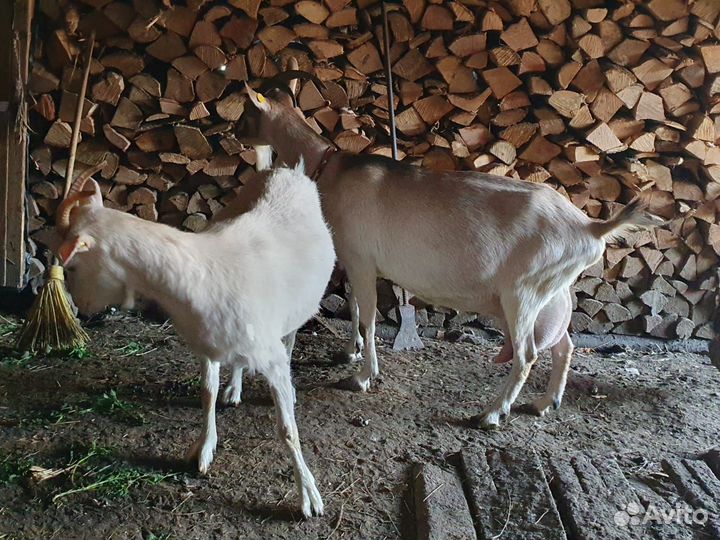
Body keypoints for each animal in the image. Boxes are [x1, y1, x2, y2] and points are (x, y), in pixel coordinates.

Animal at [50, 161, 335, 517]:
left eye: (73, 267)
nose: (83, 308)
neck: (201, 272)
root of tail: (286, 169)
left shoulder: (271, 358)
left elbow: (287, 430)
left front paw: (309, 495)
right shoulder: (205, 345)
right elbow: (206, 393)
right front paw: (203, 449)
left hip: (299, 309)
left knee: (292, 338)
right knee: (237, 364)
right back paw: (234, 388)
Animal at [234, 69, 656, 429]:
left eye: (246, 111)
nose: (235, 134)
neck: (331, 168)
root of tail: (592, 226)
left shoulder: (360, 258)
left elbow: (368, 316)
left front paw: (363, 376)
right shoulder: (353, 260)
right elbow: (353, 305)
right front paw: (350, 352)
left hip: (524, 292)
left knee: (527, 354)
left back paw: (491, 414)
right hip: (554, 290)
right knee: (563, 344)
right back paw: (543, 403)